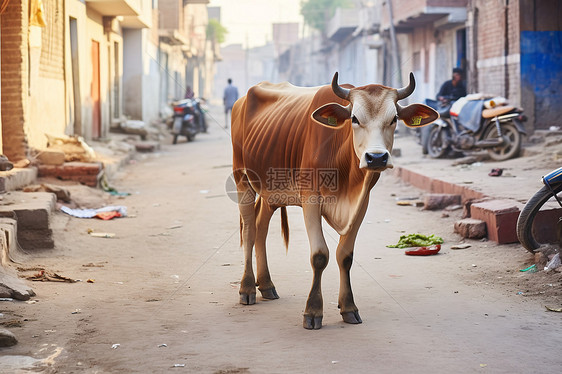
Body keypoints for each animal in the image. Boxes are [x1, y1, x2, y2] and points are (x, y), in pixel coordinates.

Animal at [230, 71, 436, 328]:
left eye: (394, 118)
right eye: (354, 118)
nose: (376, 158)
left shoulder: (362, 201)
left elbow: (345, 256)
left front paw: (348, 307)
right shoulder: (310, 198)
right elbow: (320, 255)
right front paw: (313, 310)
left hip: (271, 190)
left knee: (261, 227)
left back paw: (266, 285)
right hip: (241, 176)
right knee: (249, 230)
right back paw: (247, 288)